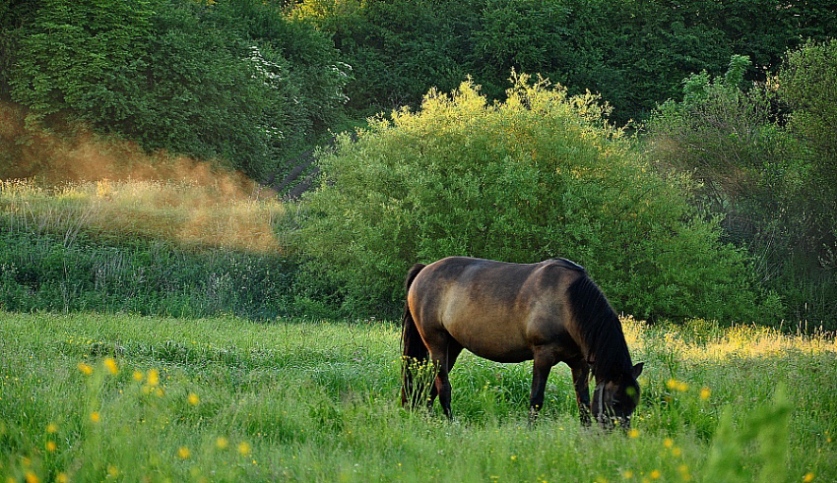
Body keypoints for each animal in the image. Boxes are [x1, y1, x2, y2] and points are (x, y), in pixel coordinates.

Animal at [402, 258, 644, 428]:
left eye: (634, 403)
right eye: (615, 402)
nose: (619, 438)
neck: (566, 303)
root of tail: (423, 270)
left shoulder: (580, 363)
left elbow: (582, 401)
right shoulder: (543, 356)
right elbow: (536, 398)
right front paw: (530, 431)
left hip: (452, 346)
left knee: (429, 384)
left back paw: (427, 418)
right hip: (437, 343)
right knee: (443, 386)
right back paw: (451, 425)